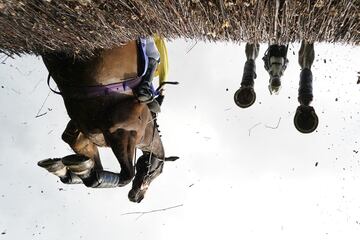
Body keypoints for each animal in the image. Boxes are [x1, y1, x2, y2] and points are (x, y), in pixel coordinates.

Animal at [37, 39, 177, 202]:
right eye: (157, 171)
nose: (137, 197)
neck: (147, 129)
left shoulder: (83, 136)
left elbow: (93, 166)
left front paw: (69, 171)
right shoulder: (121, 133)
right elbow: (126, 175)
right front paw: (80, 171)